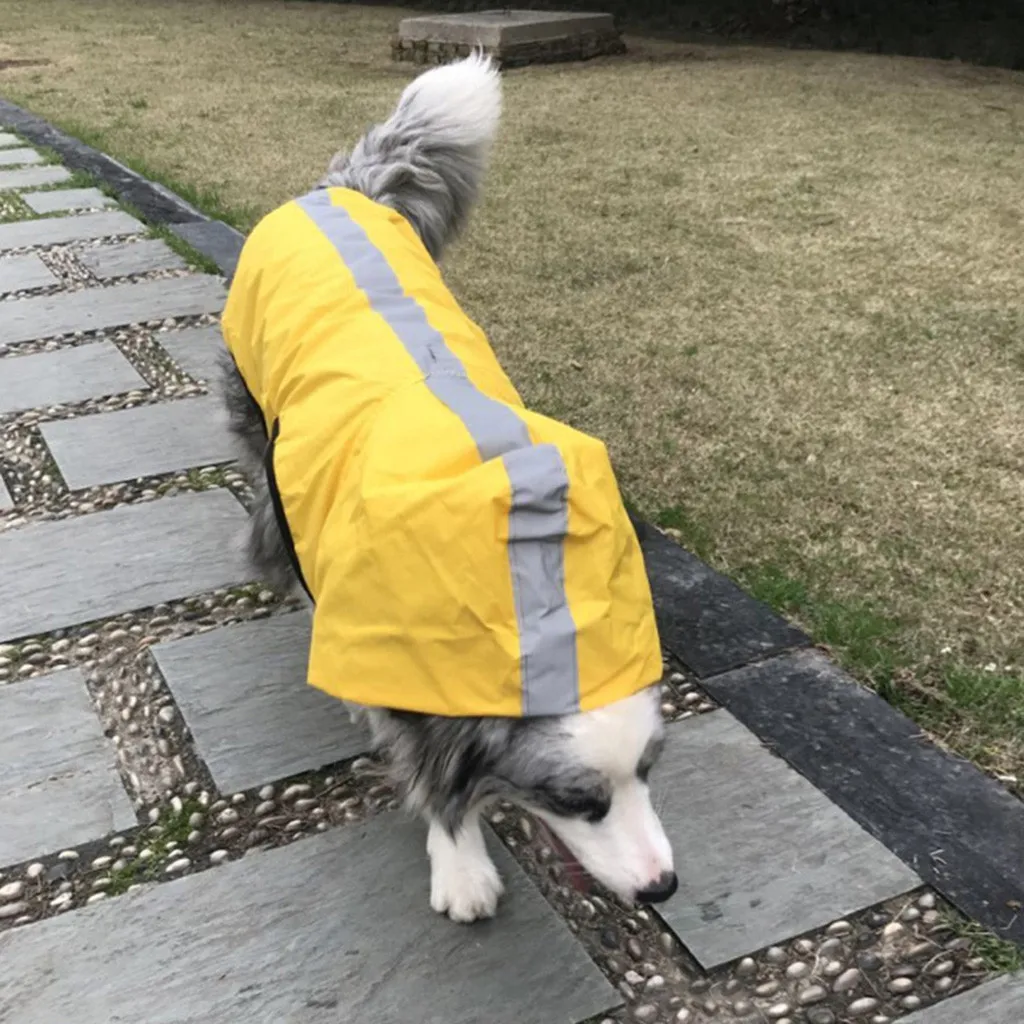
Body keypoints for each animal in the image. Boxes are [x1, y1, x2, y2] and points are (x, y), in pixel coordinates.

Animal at [220, 51, 675, 925]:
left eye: (648, 772)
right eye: (578, 802)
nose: (664, 887)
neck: (525, 583)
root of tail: (346, 188)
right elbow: (426, 761)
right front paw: (460, 865)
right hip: (259, 421)